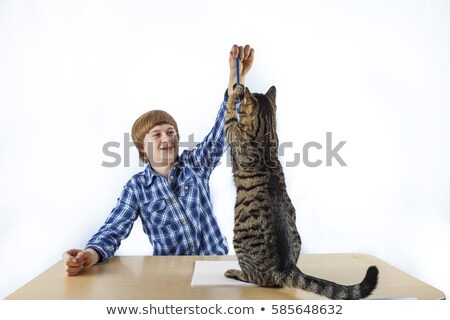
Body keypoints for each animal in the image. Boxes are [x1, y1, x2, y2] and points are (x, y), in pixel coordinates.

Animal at [223, 84, 378, 298]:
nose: (244, 89)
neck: (265, 136)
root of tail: (285, 269)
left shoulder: (231, 130)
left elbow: (229, 113)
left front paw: (236, 92)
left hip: (239, 240)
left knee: (257, 279)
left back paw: (234, 272)